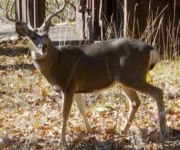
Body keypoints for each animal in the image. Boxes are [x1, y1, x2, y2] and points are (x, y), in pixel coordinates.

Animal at [6, 0, 167, 146]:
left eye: (47, 35)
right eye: (32, 37)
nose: (43, 47)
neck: (56, 63)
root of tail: (150, 48)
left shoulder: (69, 84)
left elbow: (65, 113)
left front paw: (62, 142)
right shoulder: (77, 88)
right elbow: (82, 109)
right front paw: (90, 131)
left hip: (134, 75)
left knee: (158, 92)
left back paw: (163, 132)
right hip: (125, 80)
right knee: (135, 101)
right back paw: (123, 130)